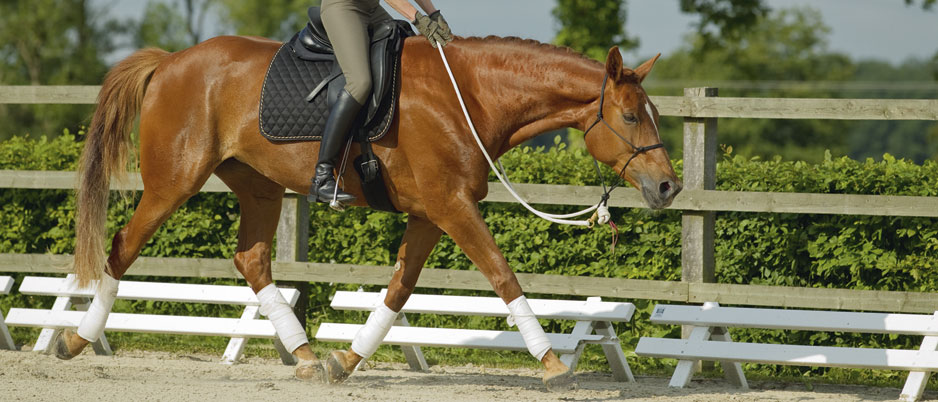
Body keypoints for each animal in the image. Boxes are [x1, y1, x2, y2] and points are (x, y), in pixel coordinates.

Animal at [62, 35, 684, 390]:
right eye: (632, 117)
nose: (669, 186)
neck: (469, 97)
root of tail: (172, 60)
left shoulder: (432, 213)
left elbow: (399, 290)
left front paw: (346, 360)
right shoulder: (451, 206)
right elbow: (502, 274)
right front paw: (553, 364)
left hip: (259, 188)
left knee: (252, 260)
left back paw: (307, 357)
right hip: (174, 182)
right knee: (122, 248)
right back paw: (75, 340)